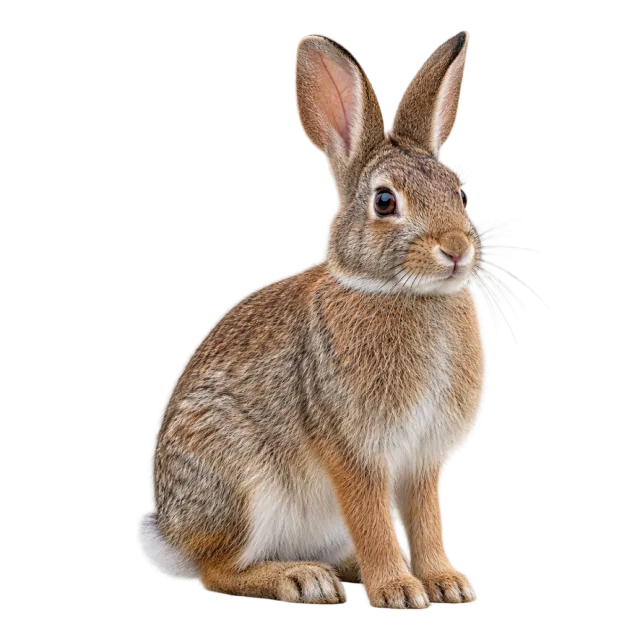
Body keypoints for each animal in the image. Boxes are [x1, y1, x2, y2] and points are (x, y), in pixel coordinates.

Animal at [137, 30, 488, 610]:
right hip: (239, 478)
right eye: (385, 201)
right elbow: (372, 520)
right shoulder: (355, 450)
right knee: (216, 570)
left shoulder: (423, 461)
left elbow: (426, 521)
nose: (457, 249)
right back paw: (301, 579)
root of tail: (169, 534)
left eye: (459, 194)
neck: (409, 295)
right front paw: (398, 592)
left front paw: (445, 583)